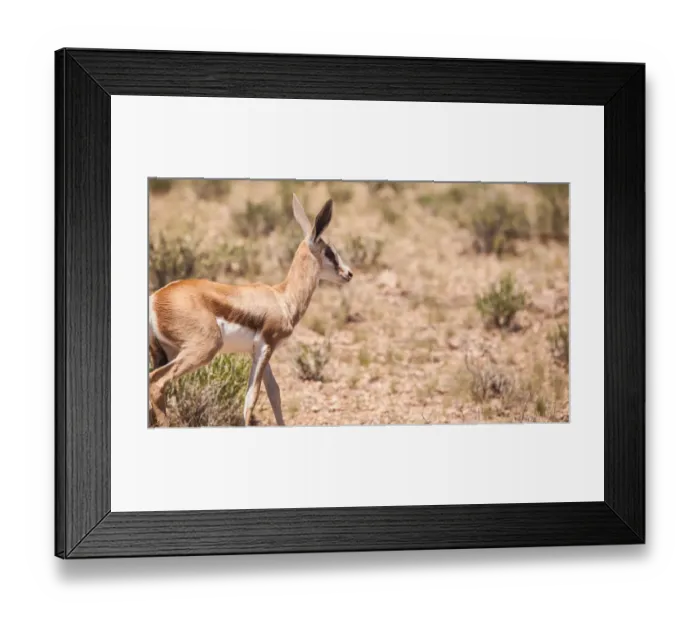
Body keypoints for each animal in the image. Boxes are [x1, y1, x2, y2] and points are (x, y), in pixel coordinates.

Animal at [148, 194, 353, 427]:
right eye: (329, 251)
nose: (348, 273)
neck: (282, 298)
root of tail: (156, 297)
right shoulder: (265, 346)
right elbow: (251, 399)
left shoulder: (260, 351)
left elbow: (274, 393)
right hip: (203, 348)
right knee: (157, 382)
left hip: (168, 352)